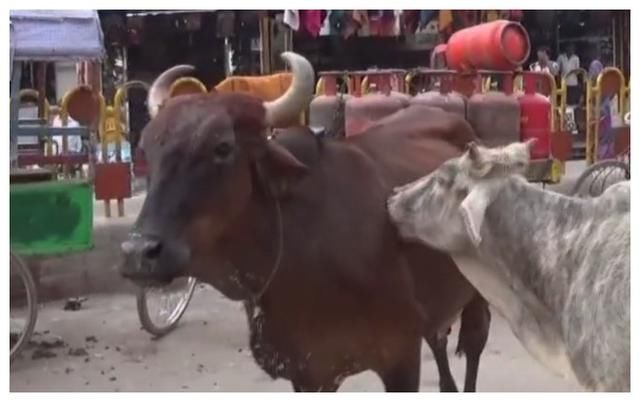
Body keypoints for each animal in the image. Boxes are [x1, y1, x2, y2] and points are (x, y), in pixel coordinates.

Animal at [121, 51, 490, 392]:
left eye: (222, 146)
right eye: (146, 148)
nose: (138, 252)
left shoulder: (401, 355)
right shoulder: (308, 371)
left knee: (473, 344)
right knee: (439, 341)